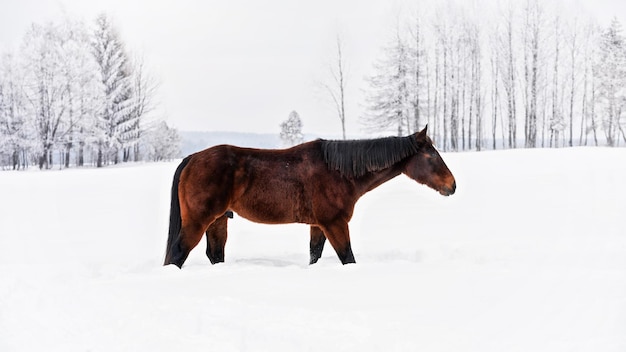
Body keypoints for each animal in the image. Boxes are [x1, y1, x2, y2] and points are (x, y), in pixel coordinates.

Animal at [163, 125, 450, 268]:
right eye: (431, 155)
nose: (452, 185)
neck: (339, 172)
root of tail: (192, 159)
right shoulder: (334, 223)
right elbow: (347, 257)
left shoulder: (318, 225)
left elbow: (315, 255)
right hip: (199, 221)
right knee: (178, 254)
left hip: (218, 220)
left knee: (214, 254)